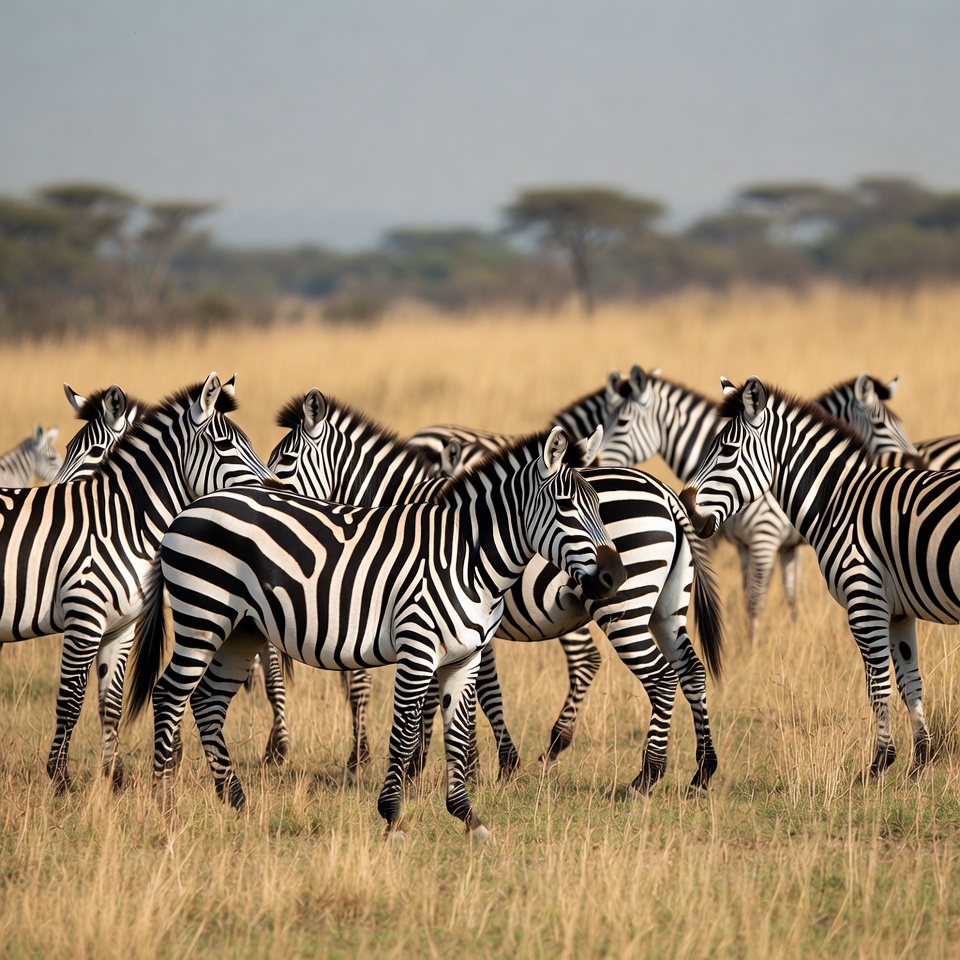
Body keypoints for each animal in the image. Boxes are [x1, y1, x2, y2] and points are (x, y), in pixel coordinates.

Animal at [0, 372, 274, 792]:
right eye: (226, 444)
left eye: (92, 451)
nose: (278, 488)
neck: (121, 521)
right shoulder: (85, 617)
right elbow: (71, 699)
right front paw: (60, 781)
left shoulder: (121, 626)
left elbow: (109, 703)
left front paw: (110, 780)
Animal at [127, 428, 627, 839]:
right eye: (566, 507)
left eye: (600, 507)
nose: (615, 576)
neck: (468, 558)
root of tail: (191, 506)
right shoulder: (417, 647)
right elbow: (404, 732)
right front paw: (393, 818)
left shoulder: (464, 658)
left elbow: (457, 733)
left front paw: (467, 816)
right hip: (202, 614)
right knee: (170, 694)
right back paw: (166, 808)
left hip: (240, 630)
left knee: (207, 701)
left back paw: (237, 801)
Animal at [268, 389, 724, 795]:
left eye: (284, 461)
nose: (263, 493)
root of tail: (664, 492)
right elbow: (461, 692)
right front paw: (451, 765)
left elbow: (471, 694)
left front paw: (466, 767)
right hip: (666, 607)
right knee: (691, 670)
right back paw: (701, 772)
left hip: (624, 608)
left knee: (659, 677)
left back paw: (644, 777)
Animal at [593, 366, 923, 640]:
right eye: (608, 420)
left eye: (621, 421)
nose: (592, 462)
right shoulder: (756, 546)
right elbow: (771, 597)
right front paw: (783, 638)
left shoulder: (766, 537)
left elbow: (758, 600)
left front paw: (755, 648)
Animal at [680, 375, 960, 780]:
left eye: (727, 451)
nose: (686, 508)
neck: (839, 502)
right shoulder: (898, 611)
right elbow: (910, 683)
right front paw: (920, 762)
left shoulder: (864, 601)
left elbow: (877, 687)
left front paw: (878, 764)